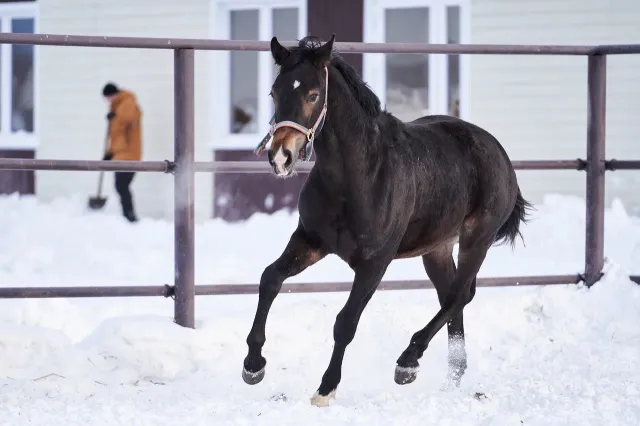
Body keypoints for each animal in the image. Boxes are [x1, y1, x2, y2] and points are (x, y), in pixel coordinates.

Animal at [242, 34, 532, 407]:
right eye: (274, 92)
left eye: (313, 95)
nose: (281, 157)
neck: (358, 177)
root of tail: (500, 153)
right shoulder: (310, 240)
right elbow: (270, 279)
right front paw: (253, 366)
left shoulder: (375, 262)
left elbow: (346, 322)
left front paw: (325, 389)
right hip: (436, 248)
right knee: (451, 296)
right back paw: (450, 377)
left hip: (476, 238)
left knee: (458, 295)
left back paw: (408, 363)